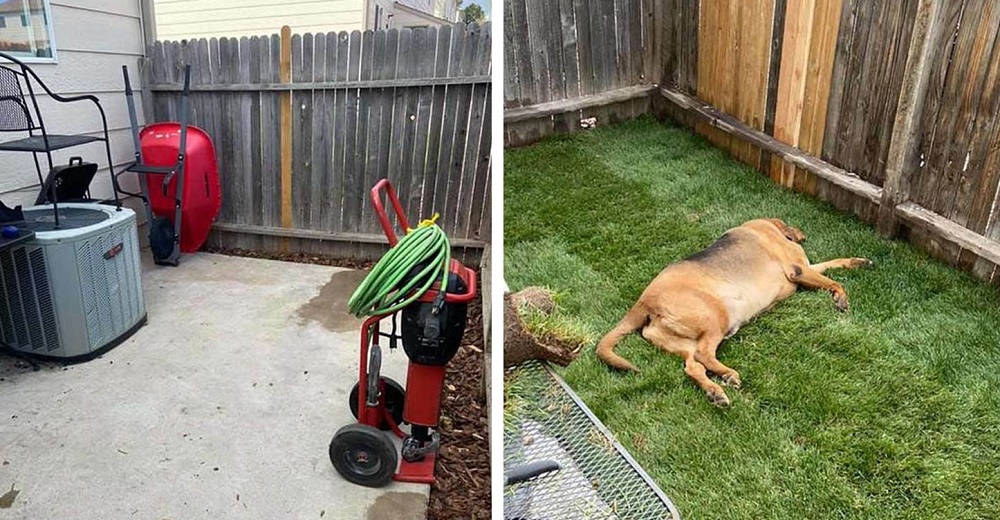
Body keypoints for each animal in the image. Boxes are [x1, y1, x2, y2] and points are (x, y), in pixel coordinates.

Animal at [596, 218, 872, 406]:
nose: (803, 233)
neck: (766, 226)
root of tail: (644, 301)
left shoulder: (807, 269)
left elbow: (834, 263)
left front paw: (858, 262)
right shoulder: (799, 269)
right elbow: (834, 281)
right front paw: (841, 298)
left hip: (678, 341)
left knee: (693, 366)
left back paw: (715, 391)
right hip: (715, 316)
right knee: (704, 355)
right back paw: (728, 375)